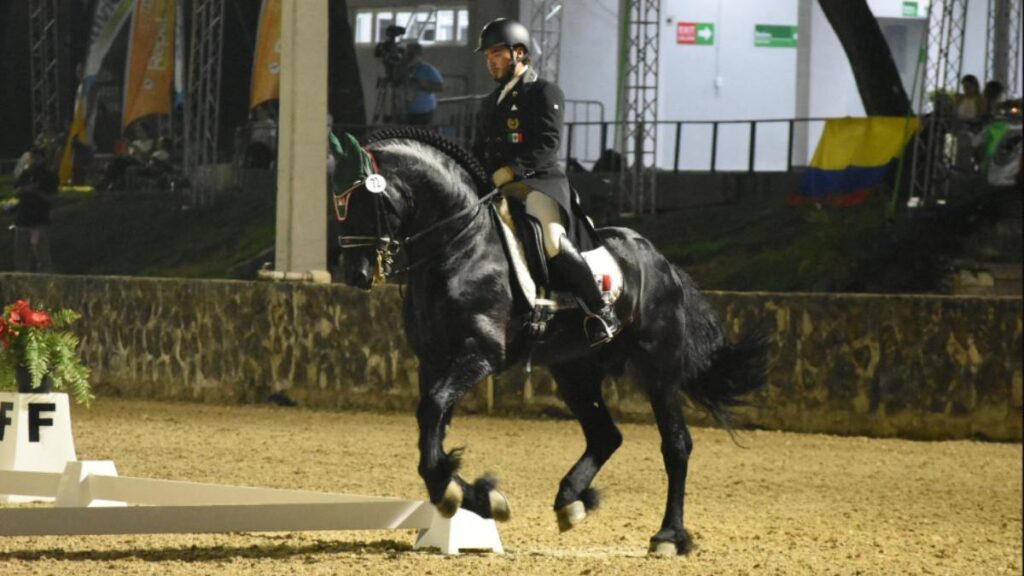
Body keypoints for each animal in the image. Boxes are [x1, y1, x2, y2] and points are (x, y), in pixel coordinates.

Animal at [339, 127, 765, 553]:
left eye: (363, 201)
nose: (355, 275)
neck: (461, 249)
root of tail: (662, 262)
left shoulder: (480, 353)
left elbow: (432, 410)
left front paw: (460, 493)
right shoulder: (434, 361)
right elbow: (434, 423)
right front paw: (474, 495)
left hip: (657, 368)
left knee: (676, 444)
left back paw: (668, 537)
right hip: (573, 370)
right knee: (605, 435)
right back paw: (571, 502)